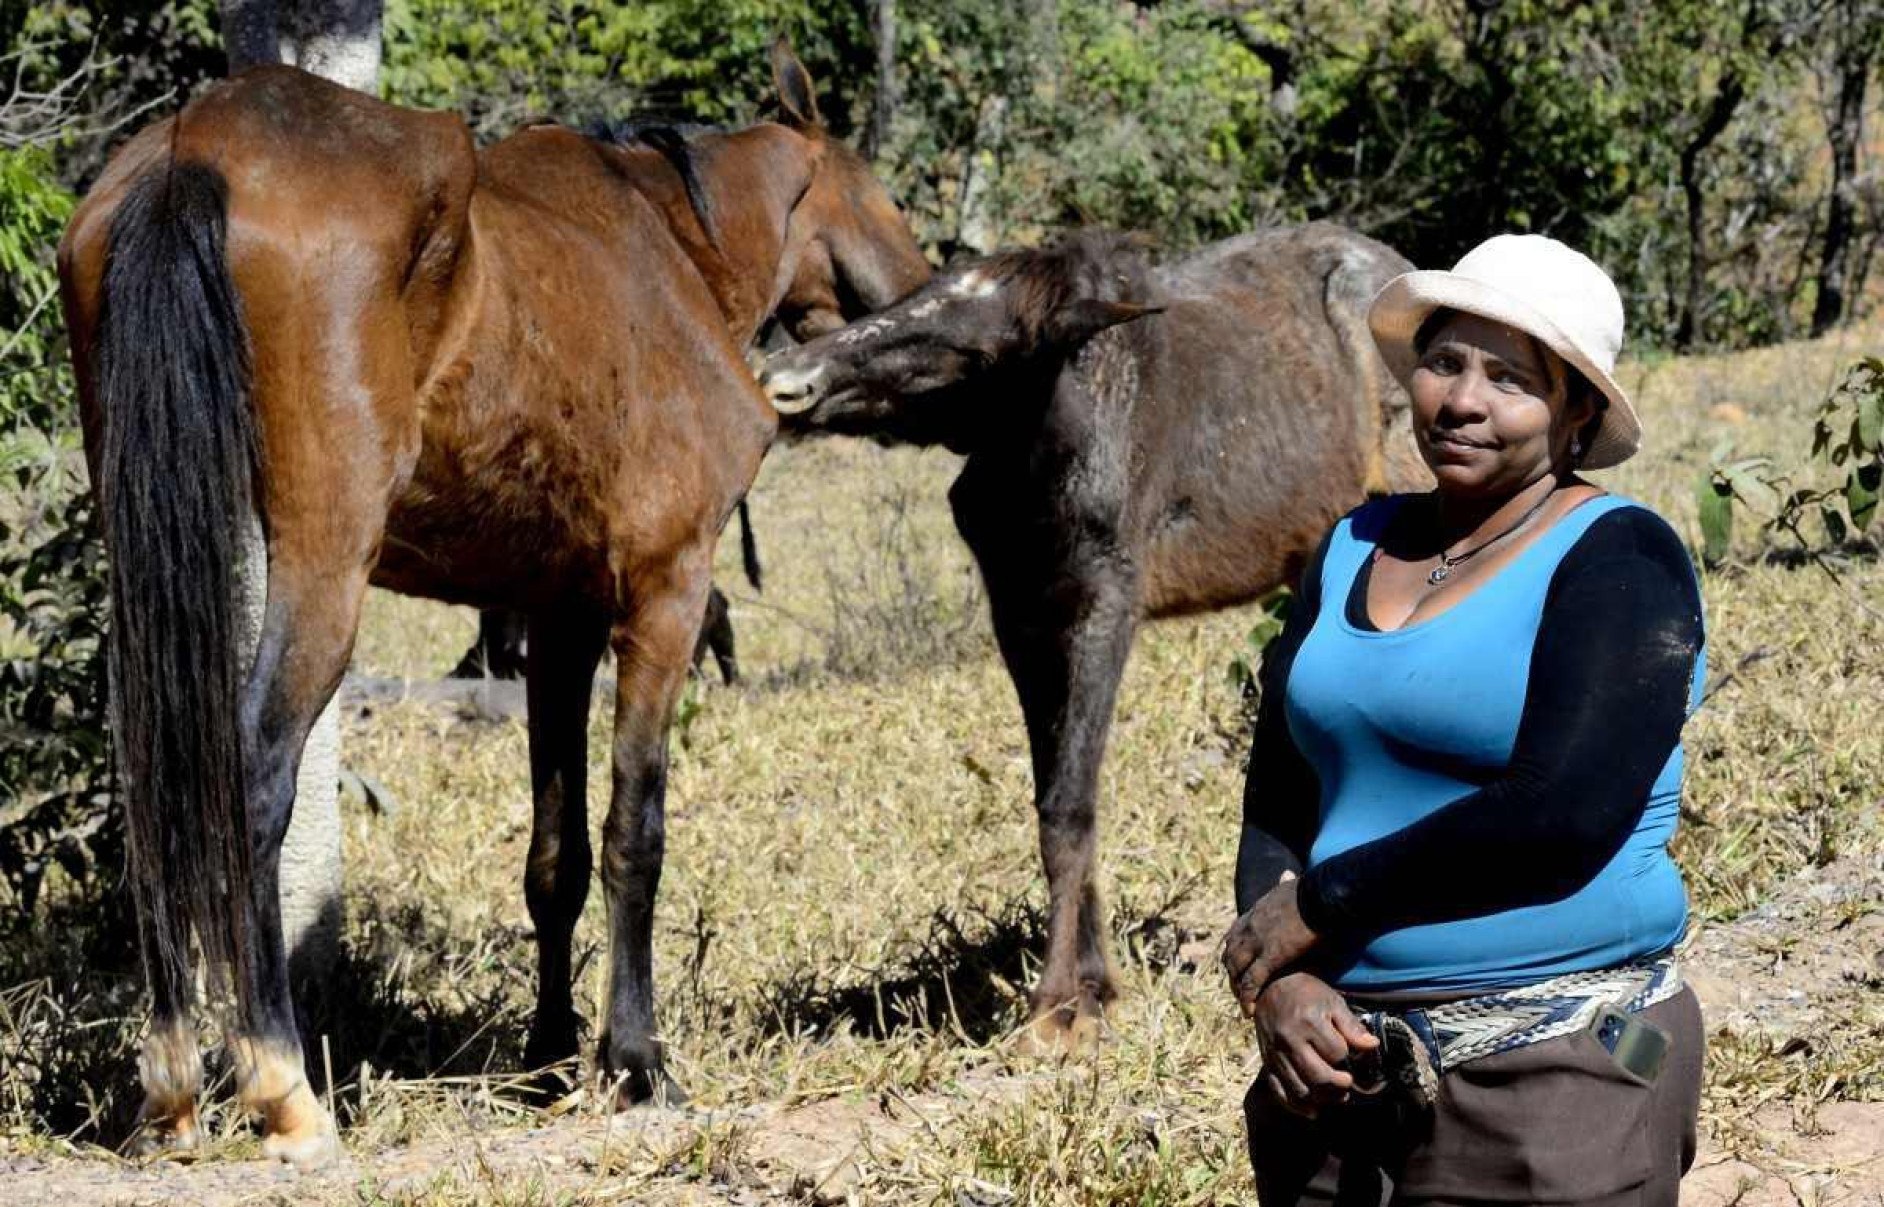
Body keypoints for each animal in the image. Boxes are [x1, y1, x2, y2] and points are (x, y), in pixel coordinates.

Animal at [62, 44, 930, 1159]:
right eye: (886, 196)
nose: (925, 299)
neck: (673, 249)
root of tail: (194, 148)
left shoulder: (557, 621)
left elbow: (555, 858)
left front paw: (551, 1054)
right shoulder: (665, 595)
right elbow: (635, 831)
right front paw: (635, 1060)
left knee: (155, 774)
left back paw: (171, 1081)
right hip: (324, 568)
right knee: (247, 768)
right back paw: (280, 1081)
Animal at [757, 225, 1416, 1046]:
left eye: (979, 352)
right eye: (920, 294)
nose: (786, 379)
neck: (1039, 443)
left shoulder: (1106, 603)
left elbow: (1073, 802)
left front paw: (1059, 1003)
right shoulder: (1021, 616)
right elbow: (1055, 795)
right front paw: (1097, 984)